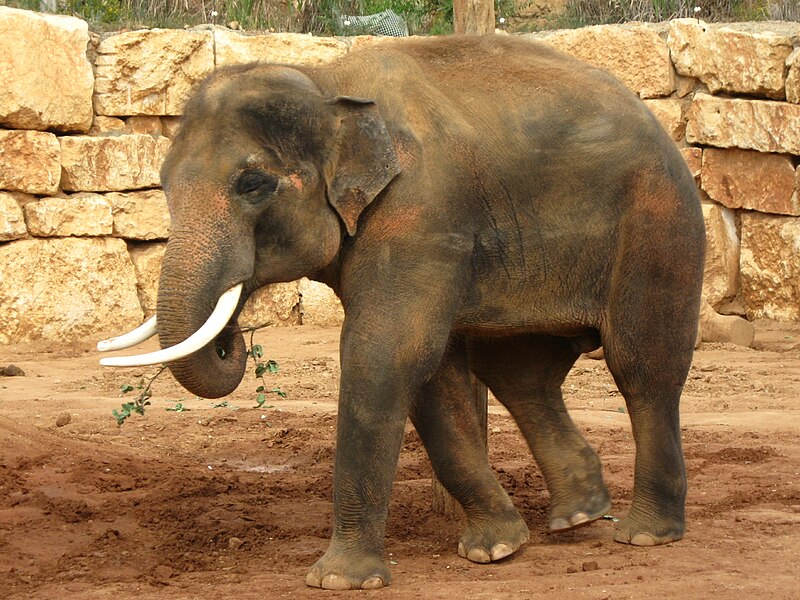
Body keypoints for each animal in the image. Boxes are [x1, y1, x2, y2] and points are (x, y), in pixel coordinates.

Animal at [97, 36, 704, 592]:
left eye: (253, 184)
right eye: (162, 186)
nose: (232, 341)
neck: (326, 82)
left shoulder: (420, 212)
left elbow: (383, 354)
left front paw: (339, 581)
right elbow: (431, 375)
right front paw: (494, 550)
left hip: (659, 220)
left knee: (642, 366)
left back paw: (644, 534)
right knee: (519, 373)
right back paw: (576, 515)